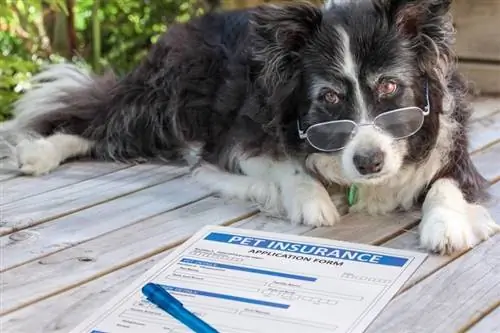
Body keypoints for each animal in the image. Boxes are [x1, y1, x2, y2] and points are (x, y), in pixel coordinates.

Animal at [1, 0, 498, 252]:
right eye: (329, 98)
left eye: (391, 87)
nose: (369, 163)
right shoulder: (238, 136)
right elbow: (286, 165)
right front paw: (310, 200)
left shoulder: (452, 147)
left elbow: (447, 183)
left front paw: (446, 225)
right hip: (166, 99)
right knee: (101, 119)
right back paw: (39, 153)